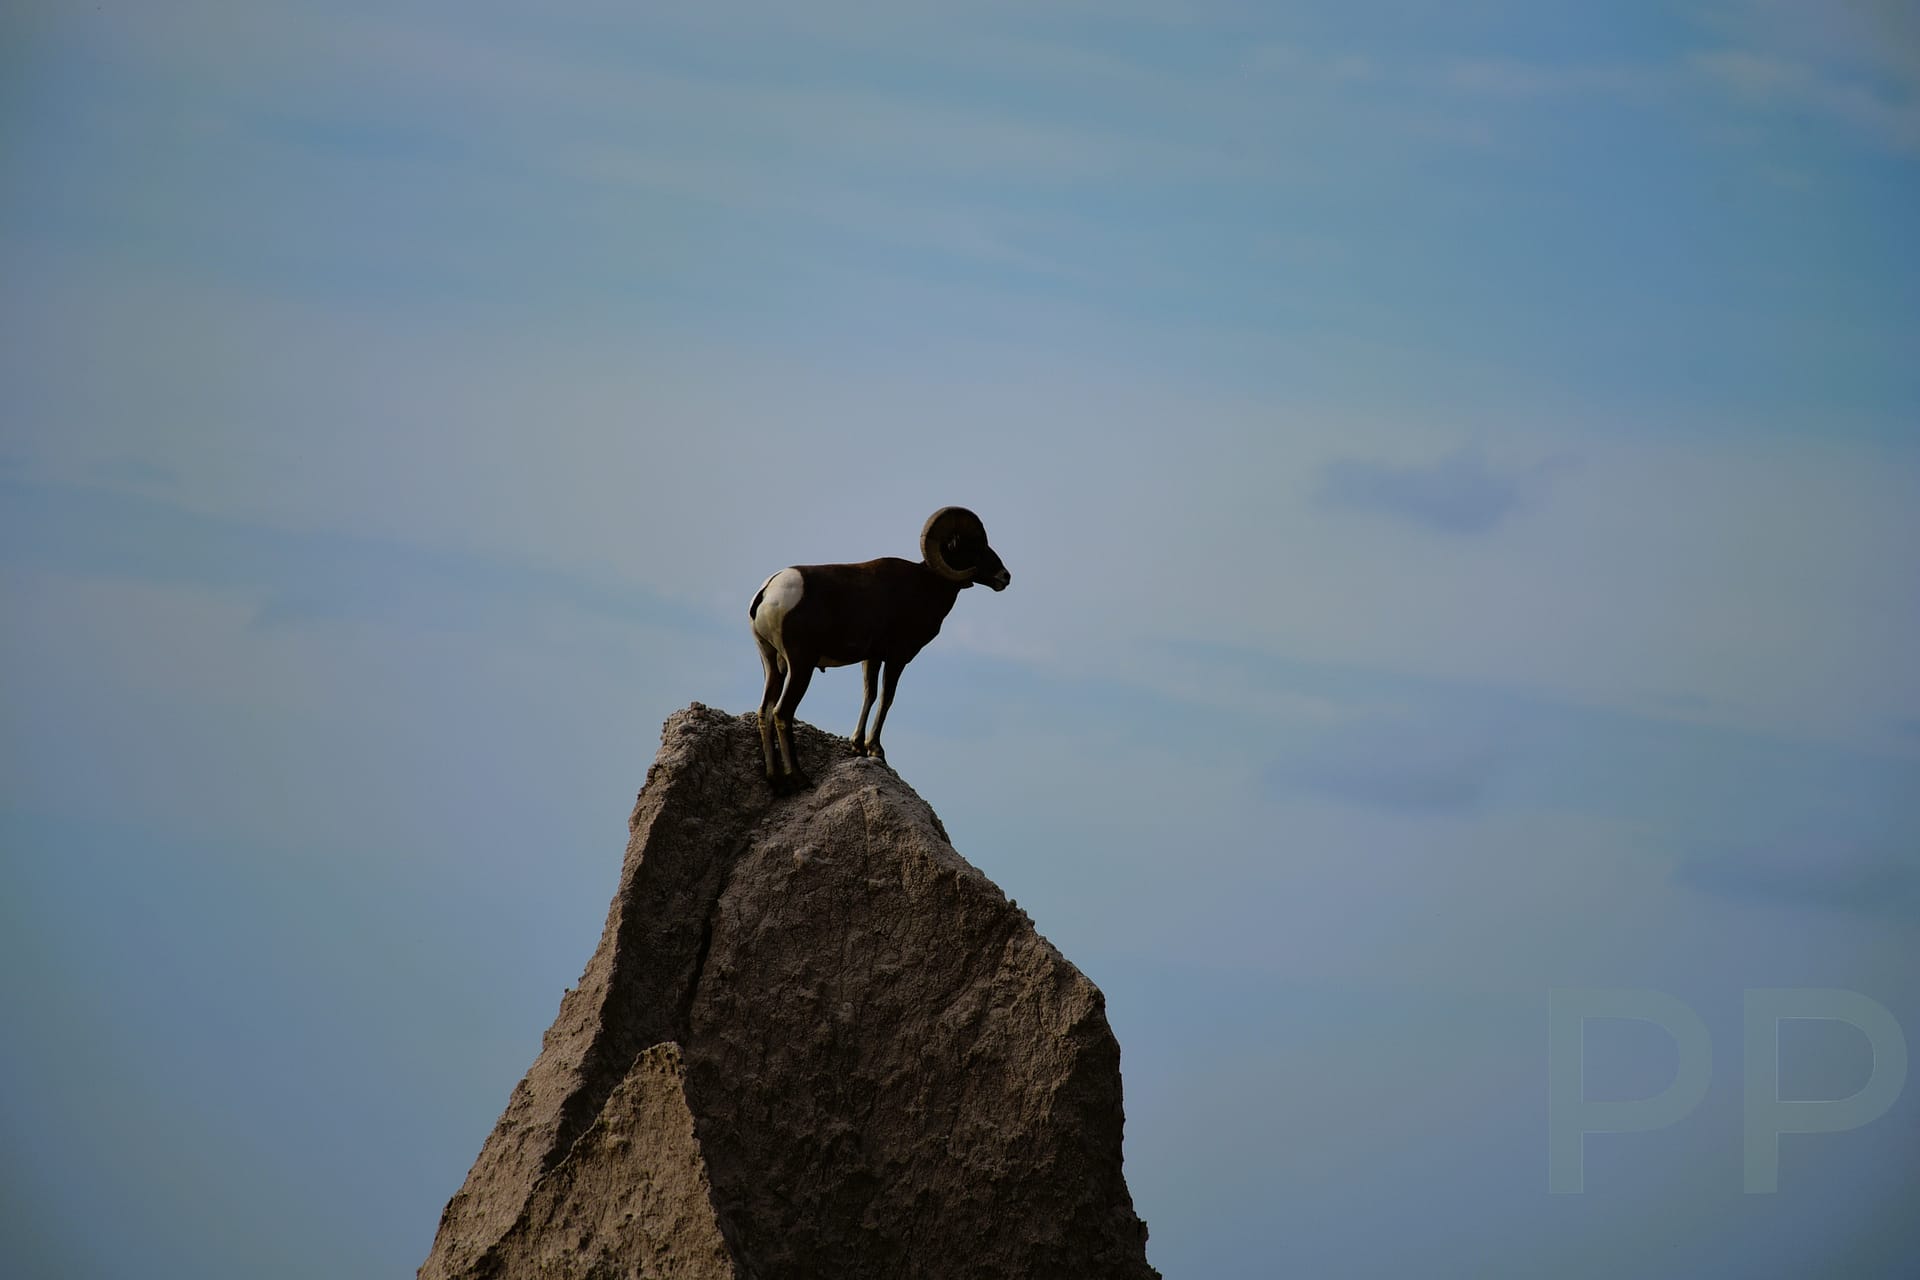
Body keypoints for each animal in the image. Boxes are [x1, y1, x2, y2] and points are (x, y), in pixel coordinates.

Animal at [748, 507, 1011, 791]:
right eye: (974, 543)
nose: (1005, 576)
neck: (927, 586)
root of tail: (768, 592)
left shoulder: (872, 658)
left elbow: (870, 694)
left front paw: (858, 746)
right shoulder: (897, 657)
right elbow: (887, 698)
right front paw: (876, 750)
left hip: (772, 663)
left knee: (765, 711)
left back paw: (775, 780)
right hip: (800, 665)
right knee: (782, 712)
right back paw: (798, 778)